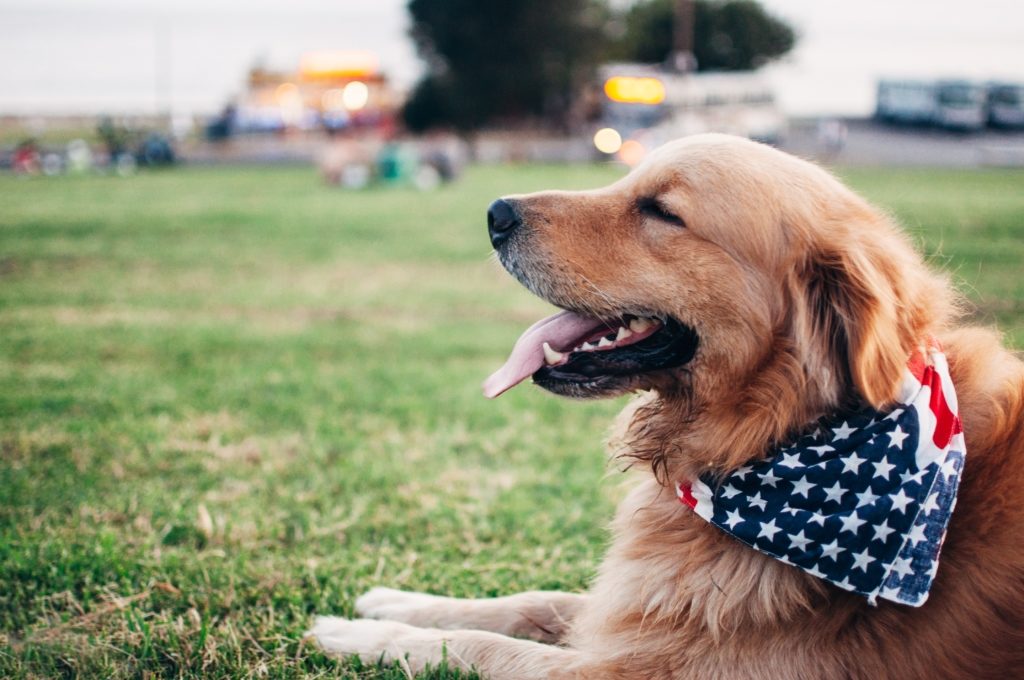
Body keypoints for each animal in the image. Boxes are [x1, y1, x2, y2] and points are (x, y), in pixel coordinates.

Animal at [311, 134, 1024, 680]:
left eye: (660, 211)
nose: (495, 212)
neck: (771, 436)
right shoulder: (637, 610)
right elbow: (526, 601)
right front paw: (393, 601)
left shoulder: (633, 669)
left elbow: (476, 647)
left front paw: (354, 635)